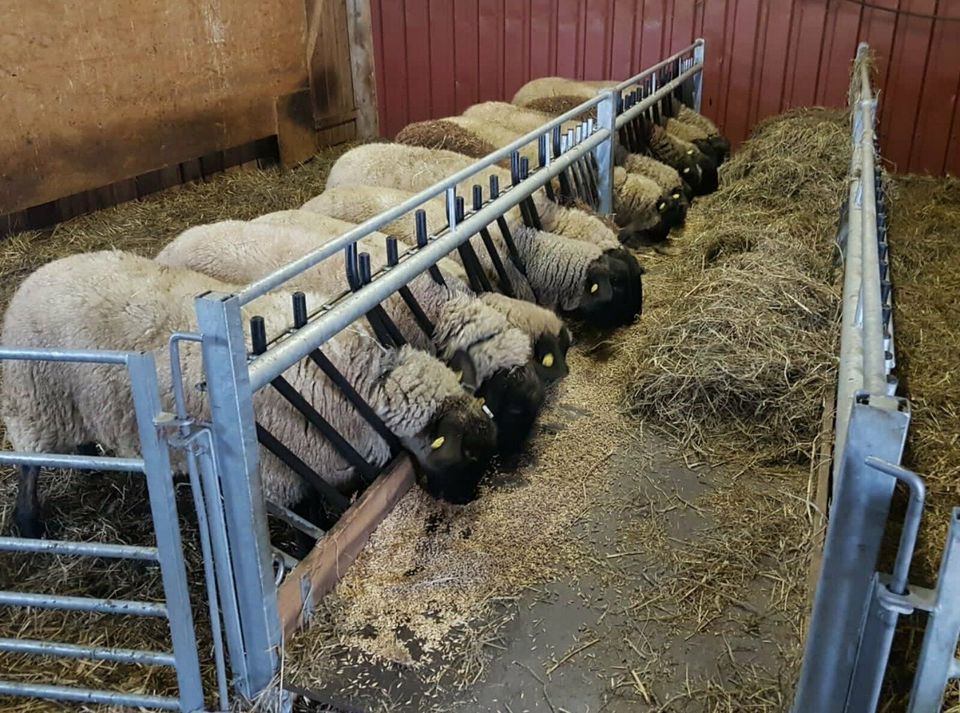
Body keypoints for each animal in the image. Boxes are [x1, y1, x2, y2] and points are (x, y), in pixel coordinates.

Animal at [5, 250, 502, 536]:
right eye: (466, 455)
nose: (467, 502)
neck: (361, 382)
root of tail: (40, 273)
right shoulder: (280, 476)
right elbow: (309, 521)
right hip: (34, 399)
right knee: (29, 463)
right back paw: (28, 523)